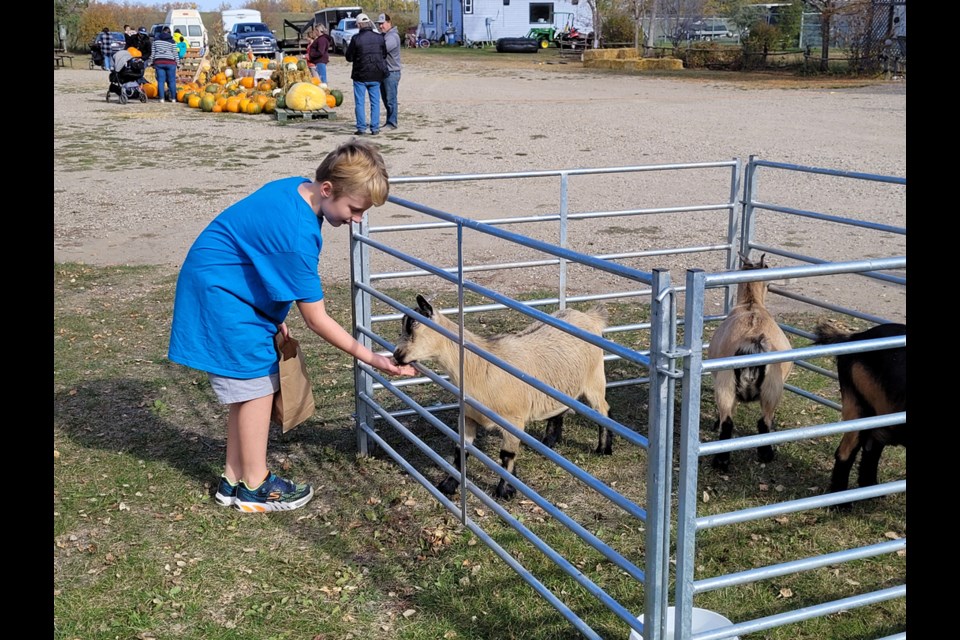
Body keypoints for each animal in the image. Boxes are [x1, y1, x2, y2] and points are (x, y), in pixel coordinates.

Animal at [394, 296, 612, 500]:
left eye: (413, 327)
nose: (397, 355)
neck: (478, 366)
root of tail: (590, 316)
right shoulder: (469, 416)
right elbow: (460, 449)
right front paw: (448, 484)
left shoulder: (513, 420)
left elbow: (507, 455)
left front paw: (505, 490)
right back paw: (549, 441)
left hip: (594, 379)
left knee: (603, 410)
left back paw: (603, 449)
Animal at [708, 254, 792, 470]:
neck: (750, 303)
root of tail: (753, 341)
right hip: (768, 388)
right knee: (760, 422)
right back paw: (762, 454)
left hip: (730, 386)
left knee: (733, 420)